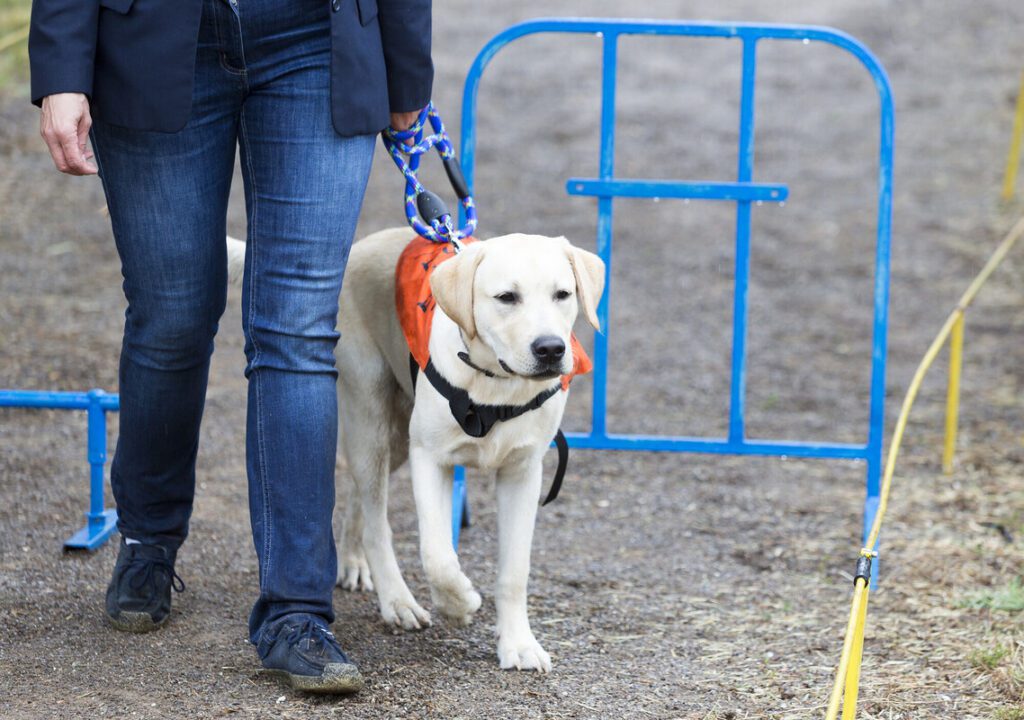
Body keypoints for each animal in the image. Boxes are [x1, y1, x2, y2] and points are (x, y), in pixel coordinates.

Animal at [228, 228, 602, 671]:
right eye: (507, 297)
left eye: (563, 294)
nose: (550, 349)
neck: (494, 385)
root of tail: (359, 248)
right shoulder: (430, 457)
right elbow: (437, 556)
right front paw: (459, 603)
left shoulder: (523, 471)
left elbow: (514, 571)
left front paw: (519, 645)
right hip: (370, 417)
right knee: (376, 521)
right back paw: (397, 601)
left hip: (394, 441)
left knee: (358, 493)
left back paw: (352, 561)